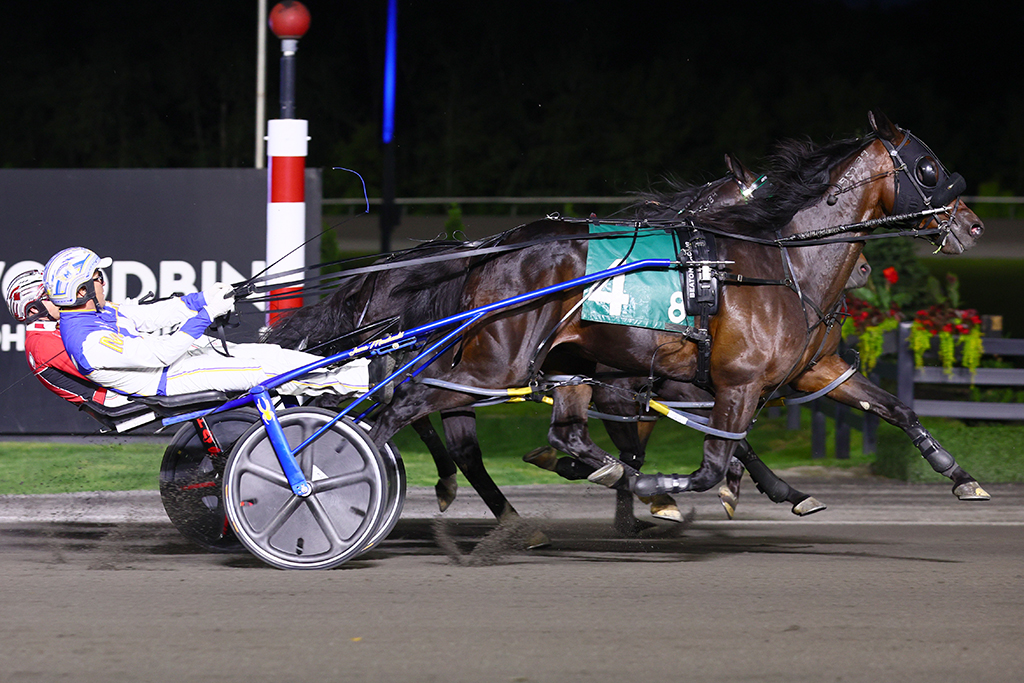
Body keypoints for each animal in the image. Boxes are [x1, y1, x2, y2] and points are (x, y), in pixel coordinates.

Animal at [364, 112, 987, 507]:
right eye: (929, 168)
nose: (973, 225)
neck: (778, 262)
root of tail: (494, 250)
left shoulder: (816, 369)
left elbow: (896, 408)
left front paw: (959, 475)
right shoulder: (731, 383)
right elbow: (709, 467)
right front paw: (663, 491)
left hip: (563, 365)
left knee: (560, 433)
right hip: (499, 363)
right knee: (407, 404)